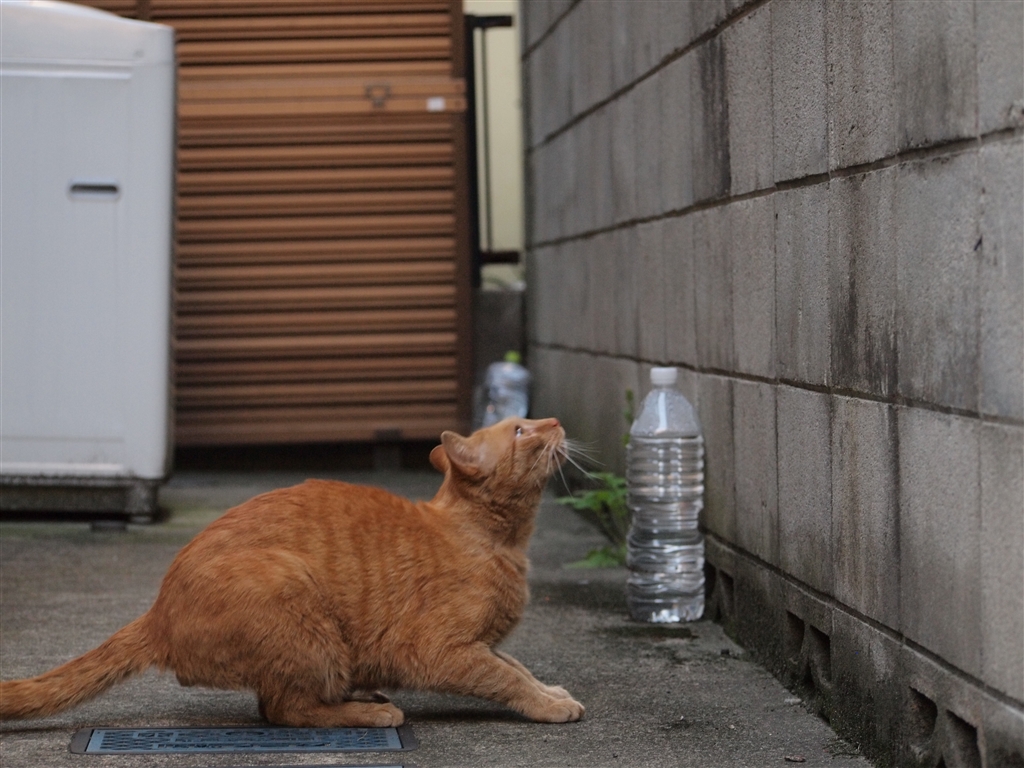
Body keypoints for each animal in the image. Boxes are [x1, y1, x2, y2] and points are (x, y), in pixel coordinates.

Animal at [0, 417, 584, 727]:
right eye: (522, 430)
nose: (555, 422)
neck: (503, 542)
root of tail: (157, 612)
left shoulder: (482, 643)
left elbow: (516, 665)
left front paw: (553, 692)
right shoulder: (440, 650)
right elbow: (505, 676)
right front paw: (546, 706)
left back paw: (361, 697)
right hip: (295, 600)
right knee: (285, 709)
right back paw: (368, 714)